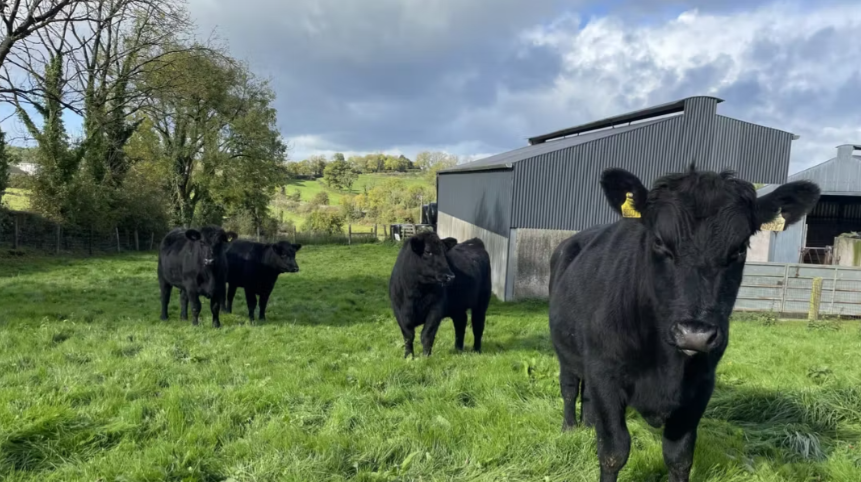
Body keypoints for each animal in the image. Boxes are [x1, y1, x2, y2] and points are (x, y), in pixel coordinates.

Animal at [549, 165, 820, 482]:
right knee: (570, 387)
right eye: (658, 242)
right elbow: (614, 451)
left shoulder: (700, 386)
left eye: (740, 249)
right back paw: (569, 428)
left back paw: (589, 425)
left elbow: (679, 457)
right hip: (565, 351)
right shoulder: (605, 373)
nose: (695, 335)